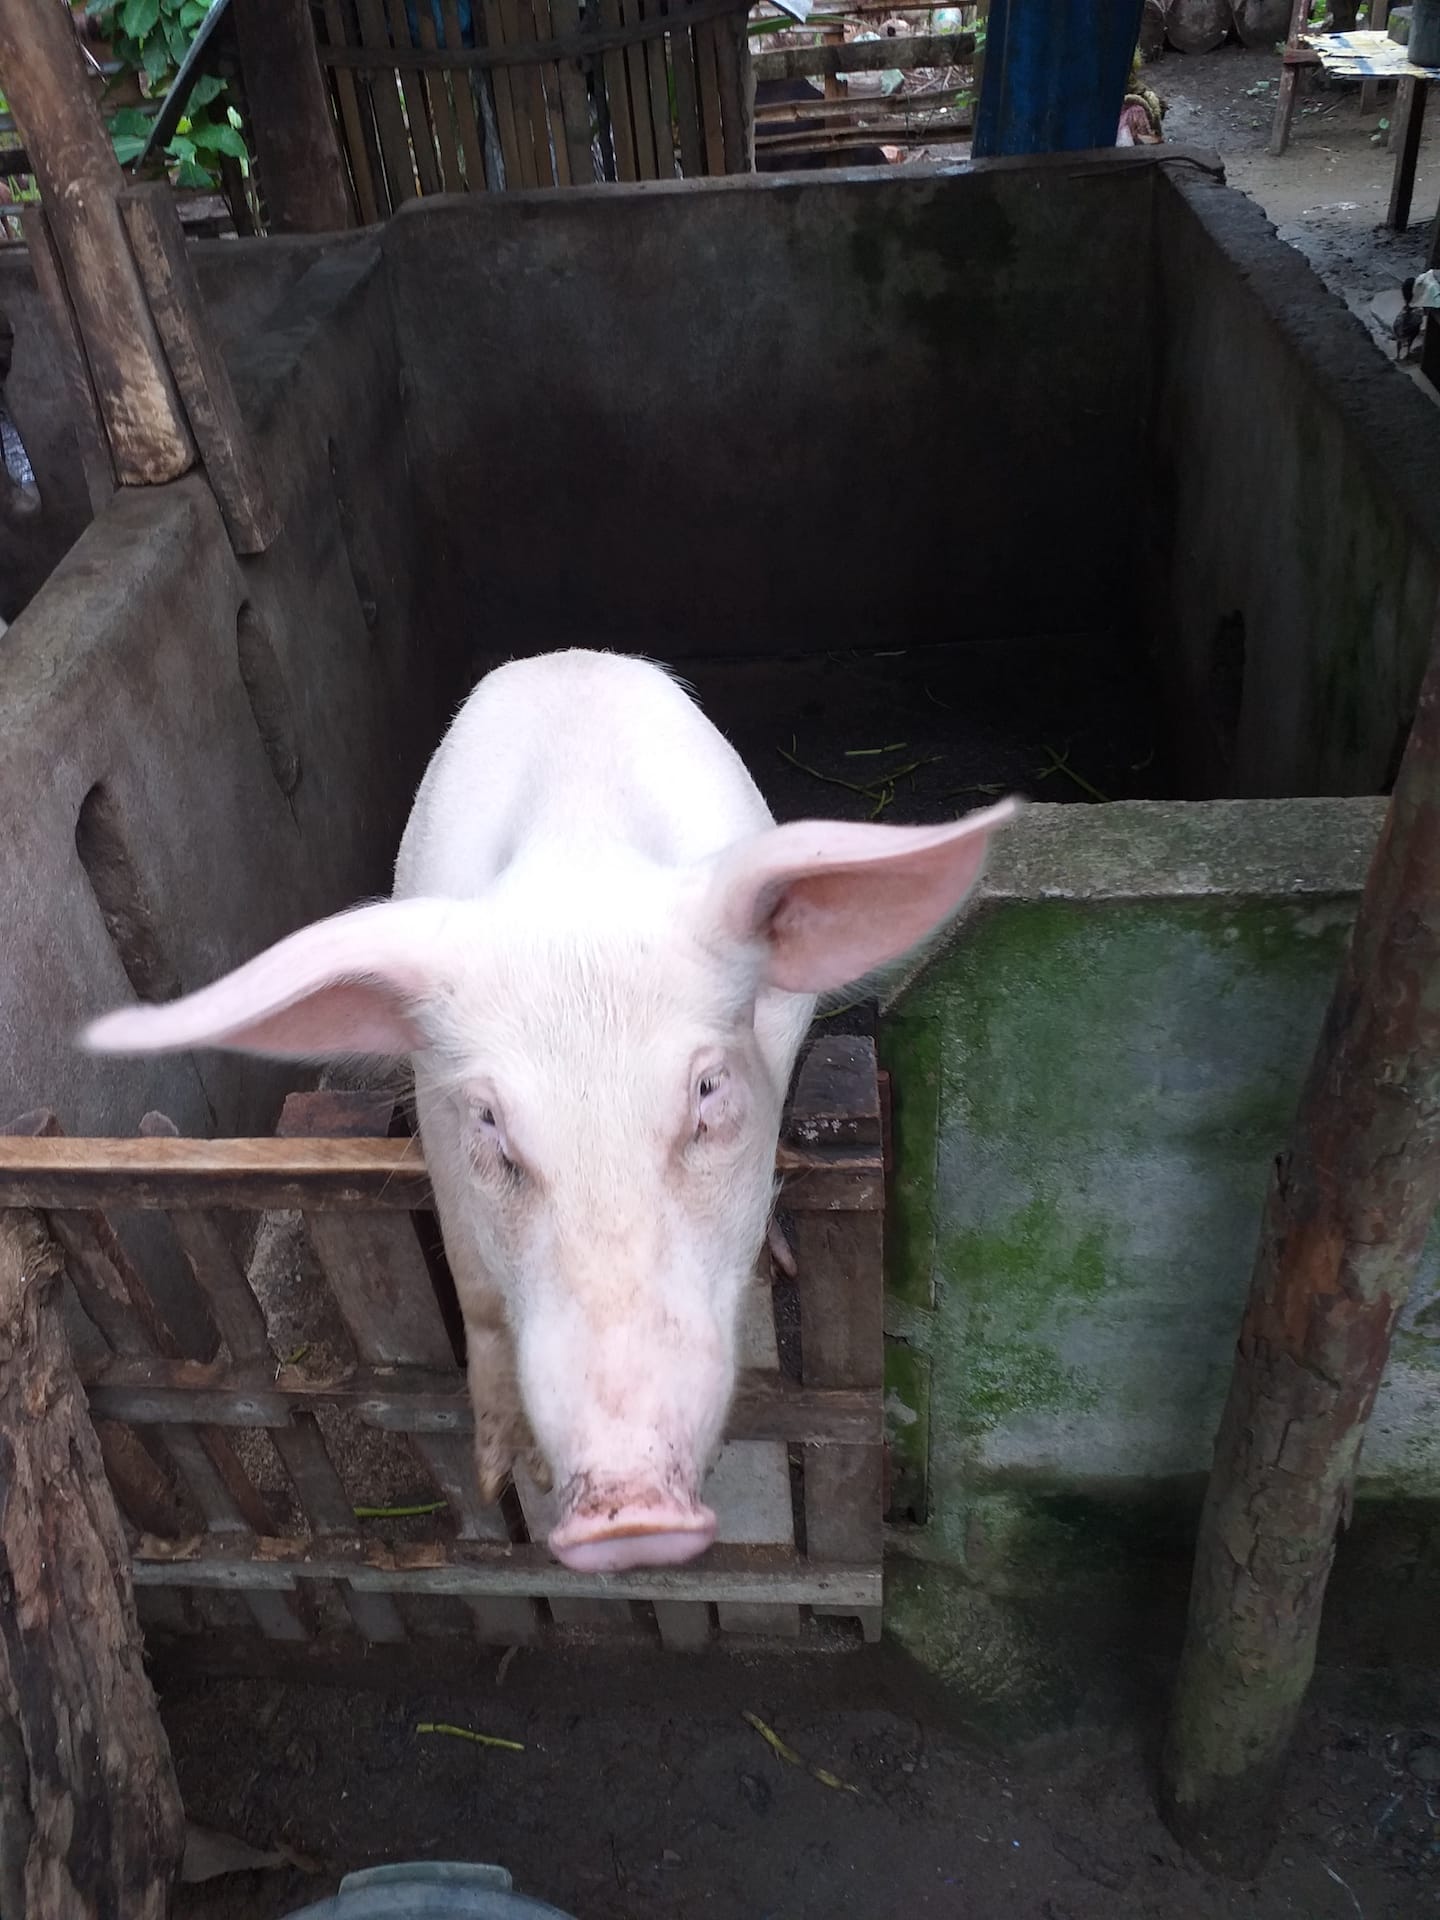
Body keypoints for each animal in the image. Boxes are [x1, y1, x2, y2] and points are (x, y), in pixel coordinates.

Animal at [83, 651, 1016, 1572]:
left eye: (707, 1092)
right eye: (494, 1126)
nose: (628, 1514)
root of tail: (564, 657)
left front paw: (776, 1265)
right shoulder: (436, 1105)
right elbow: (474, 1283)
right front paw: (504, 1472)